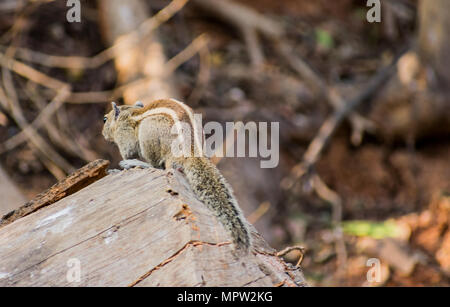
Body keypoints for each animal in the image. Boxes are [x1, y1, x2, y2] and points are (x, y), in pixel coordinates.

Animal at [102, 98, 251, 253]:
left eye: (104, 119)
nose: (103, 133)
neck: (129, 112)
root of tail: (192, 151)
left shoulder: (125, 136)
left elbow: (128, 151)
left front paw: (118, 167)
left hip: (149, 131)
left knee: (158, 166)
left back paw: (135, 163)